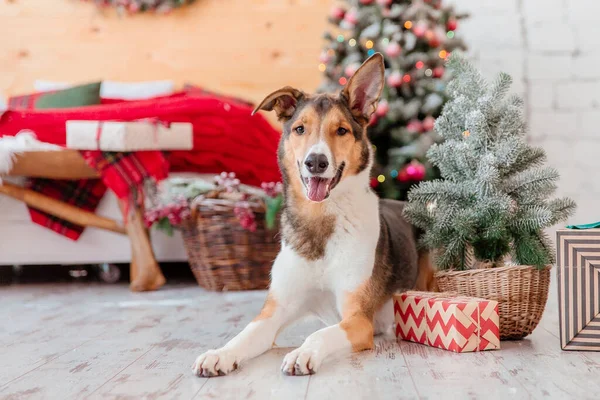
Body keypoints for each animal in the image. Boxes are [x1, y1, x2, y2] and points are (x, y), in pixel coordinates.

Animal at [192, 53, 436, 378]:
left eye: (341, 130)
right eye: (300, 129)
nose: (316, 162)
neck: (319, 222)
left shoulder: (358, 319)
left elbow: (319, 334)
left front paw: (302, 352)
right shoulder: (274, 311)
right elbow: (244, 334)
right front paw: (219, 354)